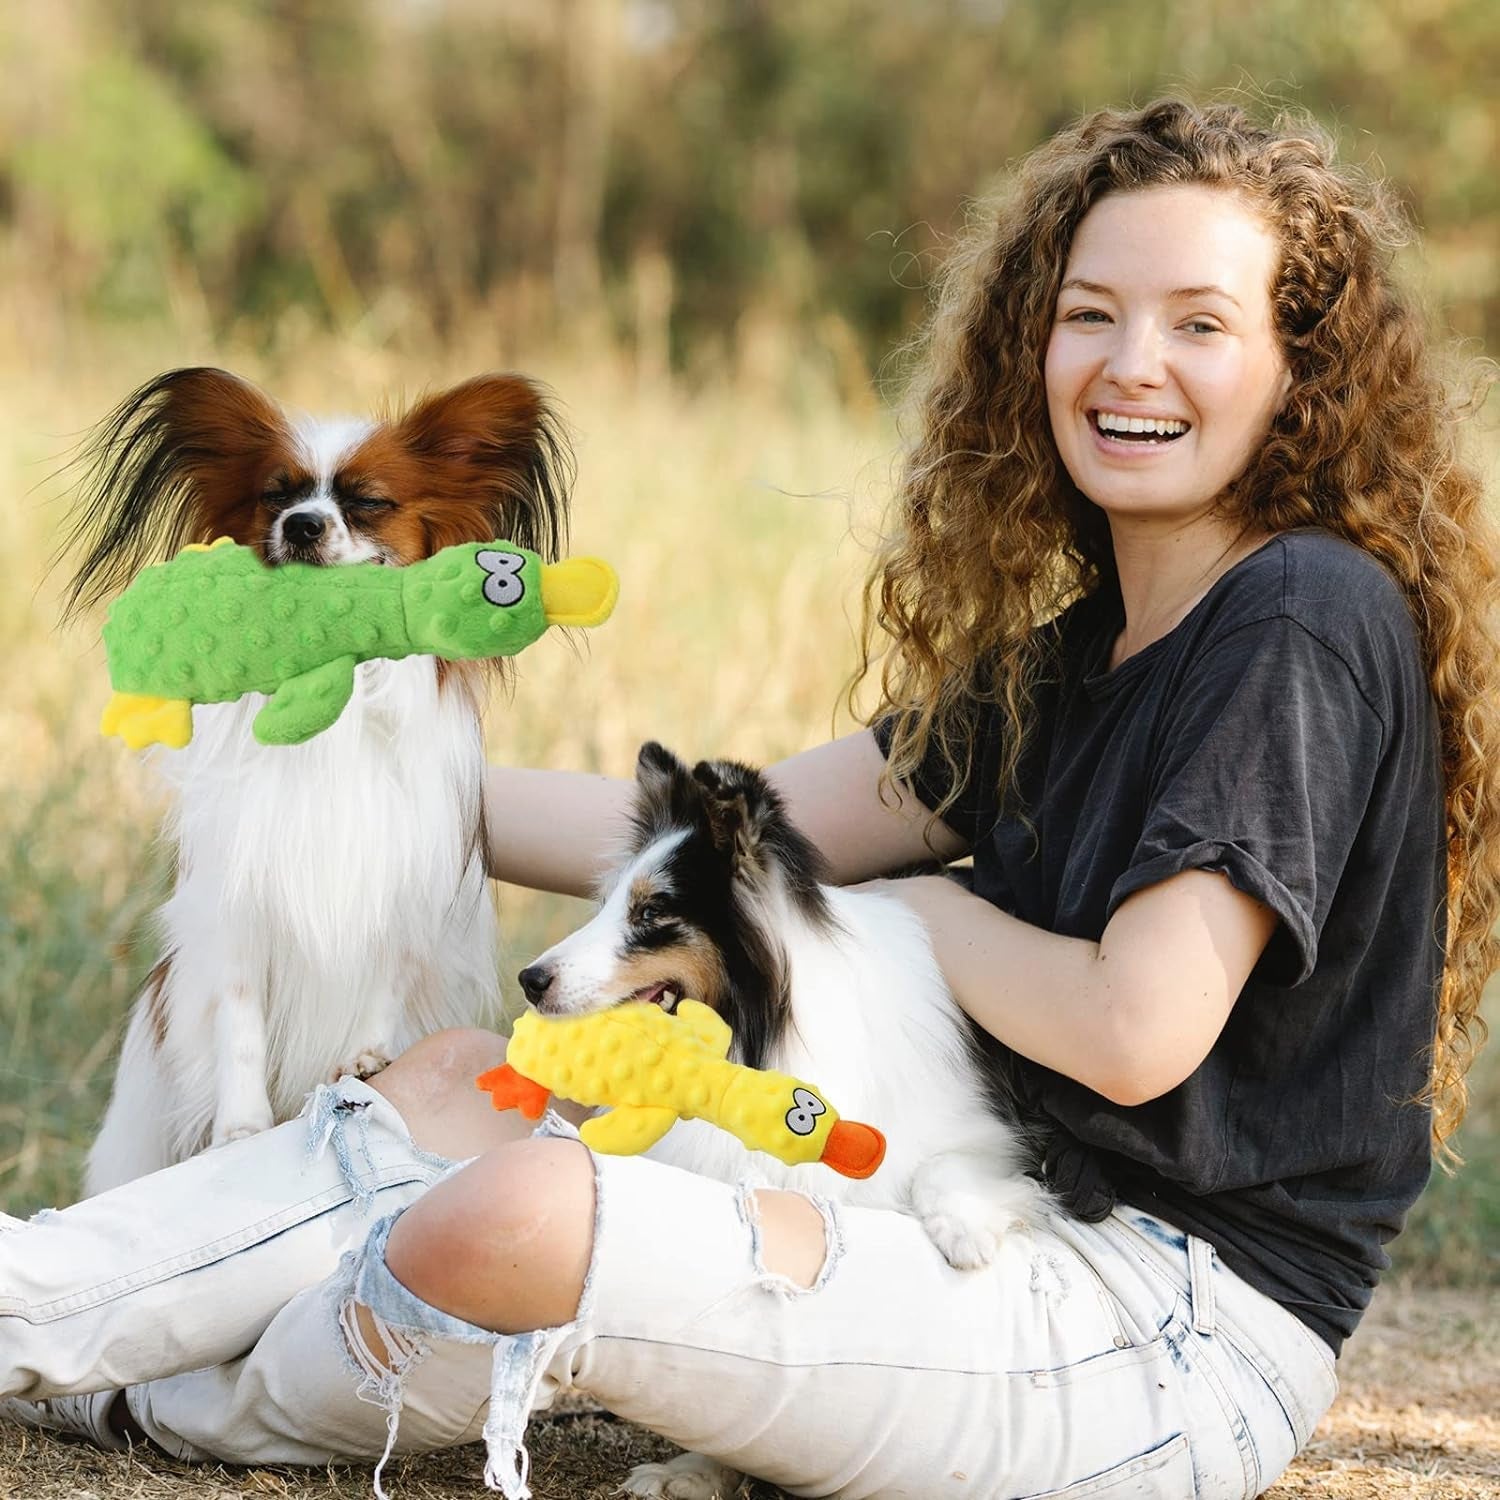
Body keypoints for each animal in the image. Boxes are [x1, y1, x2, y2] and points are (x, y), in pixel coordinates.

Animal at [63, 366, 573, 1194]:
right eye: (277, 496)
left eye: (368, 501)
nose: (304, 525)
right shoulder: (233, 900)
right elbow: (238, 1016)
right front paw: (239, 1128)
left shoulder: (404, 888)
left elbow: (384, 982)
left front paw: (366, 1057)